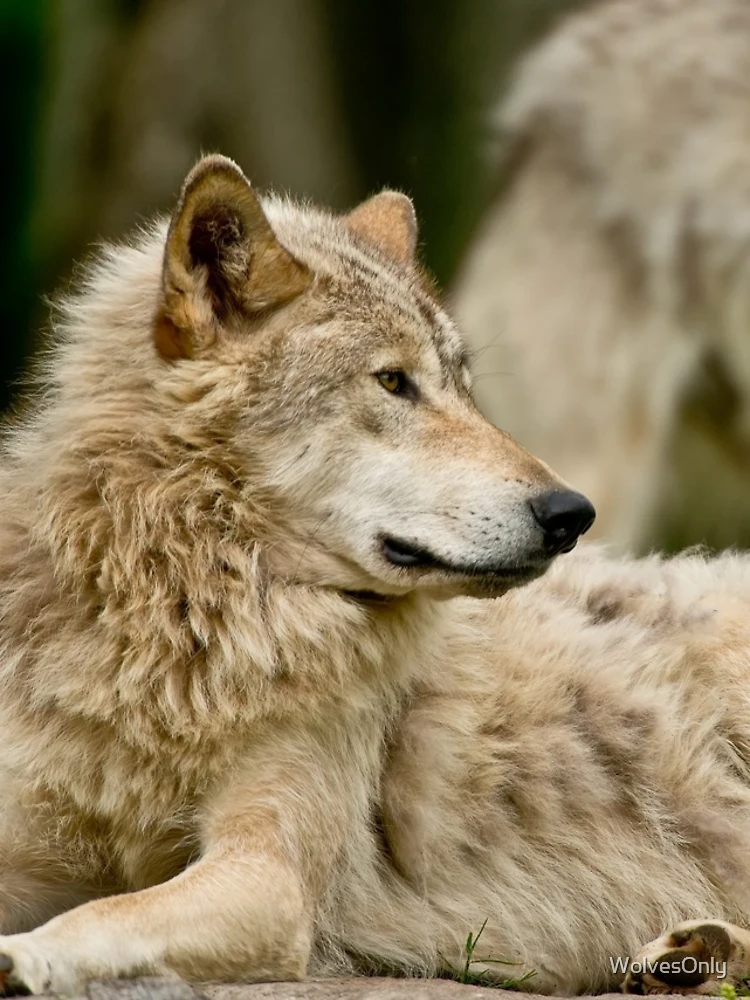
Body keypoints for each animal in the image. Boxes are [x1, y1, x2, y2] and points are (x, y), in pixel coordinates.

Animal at [2, 153, 750, 997]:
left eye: (462, 386)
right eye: (393, 382)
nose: (572, 514)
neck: (187, 621)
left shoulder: (269, 876)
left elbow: (104, 913)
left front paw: (25, 955)